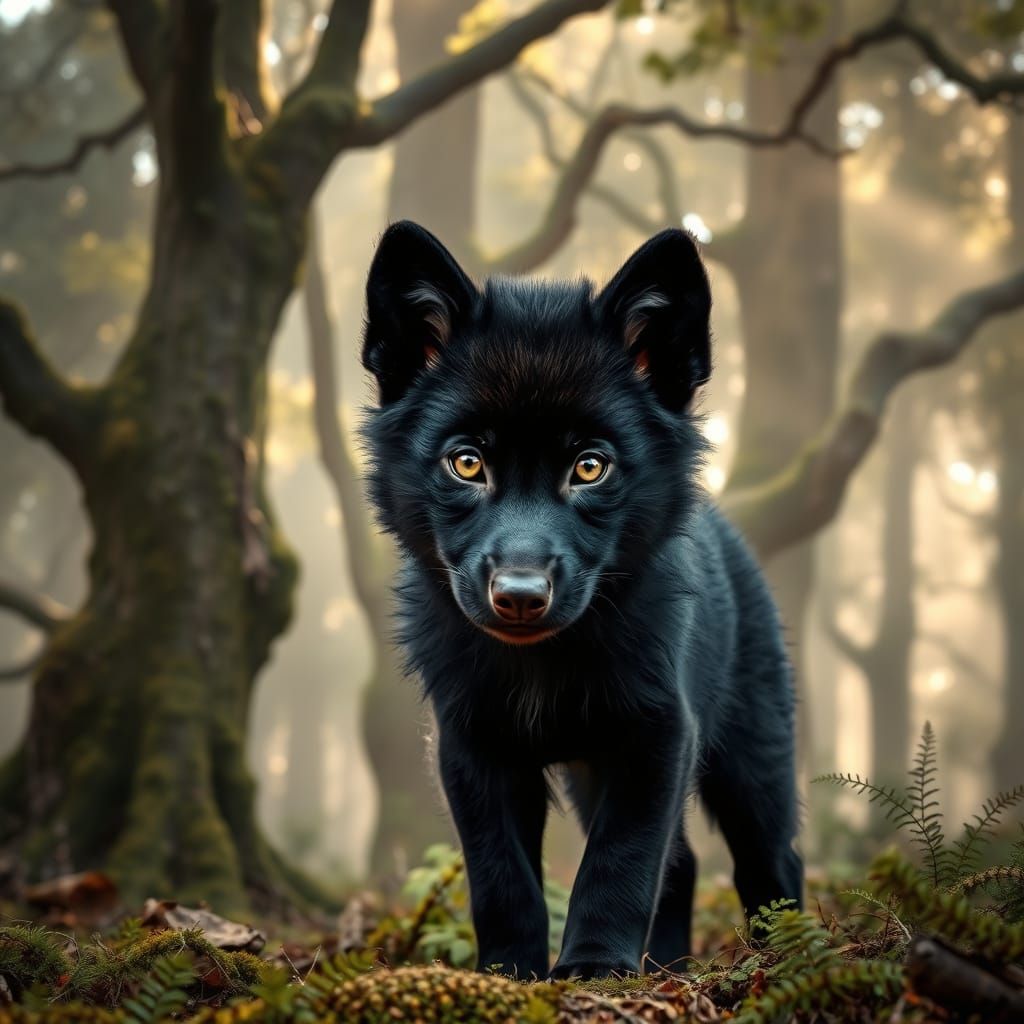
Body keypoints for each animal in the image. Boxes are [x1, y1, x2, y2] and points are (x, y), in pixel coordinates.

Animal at [360, 221, 803, 980]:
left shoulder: (658, 734)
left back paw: (792, 956)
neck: (546, 661)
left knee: (771, 859)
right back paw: (669, 967)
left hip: (753, 757)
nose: (519, 596)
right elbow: (502, 875)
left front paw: (594, 966)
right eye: (467, 463)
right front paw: (508, 972)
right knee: (685, 864)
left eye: (589, 467)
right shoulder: (473, 747)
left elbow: (620, 859)